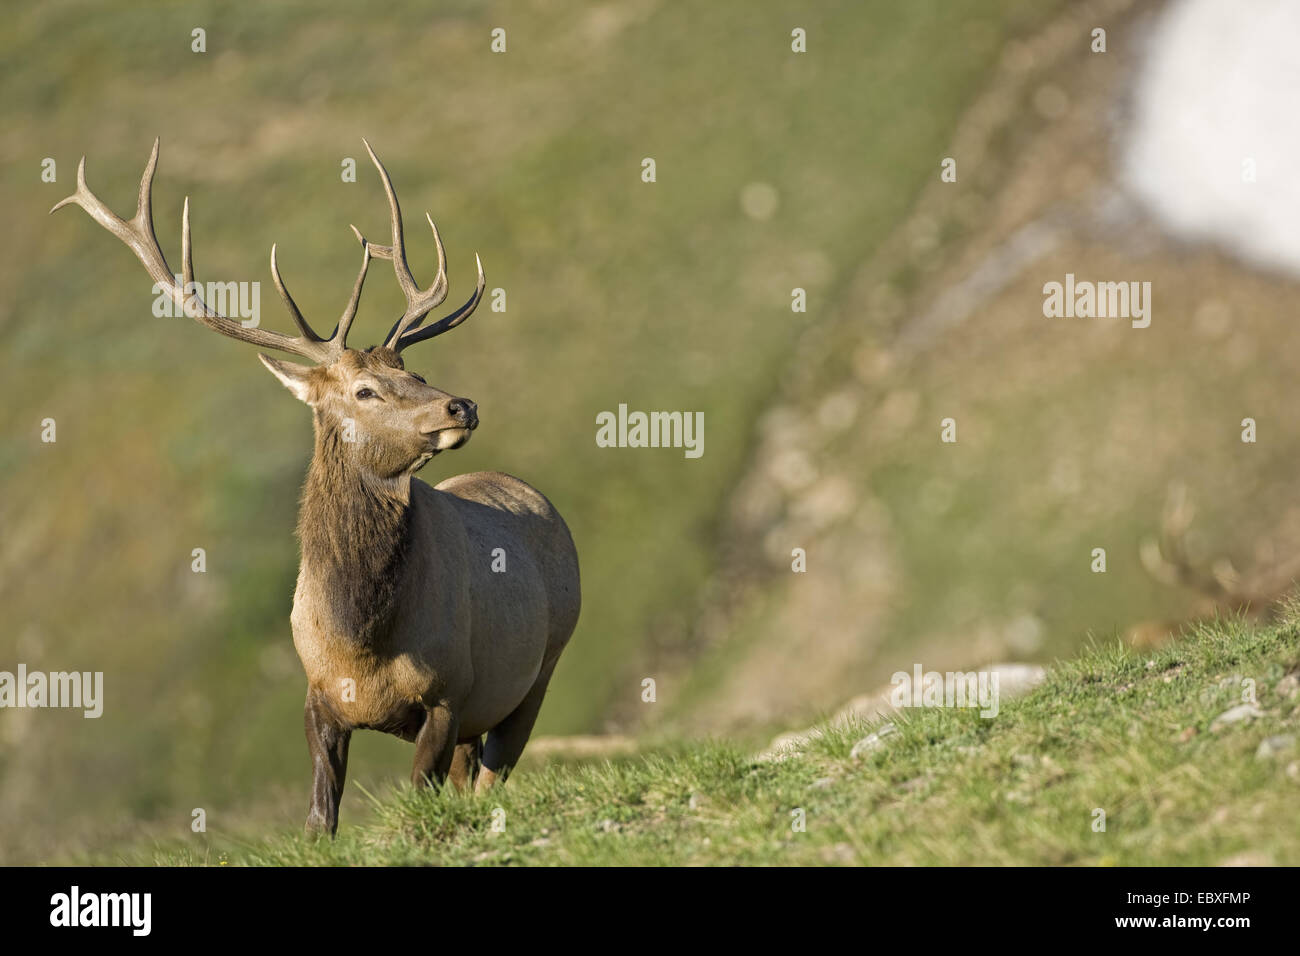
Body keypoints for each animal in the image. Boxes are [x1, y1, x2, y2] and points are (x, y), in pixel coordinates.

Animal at [51, 139, 581, 836]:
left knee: (492, 774)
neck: (362, 643)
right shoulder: (319, 697)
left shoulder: (449, 693)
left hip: (539, 672)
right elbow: (317, 820)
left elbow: (422, 796)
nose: (461, 405)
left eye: (416, 372)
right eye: (366, 389)